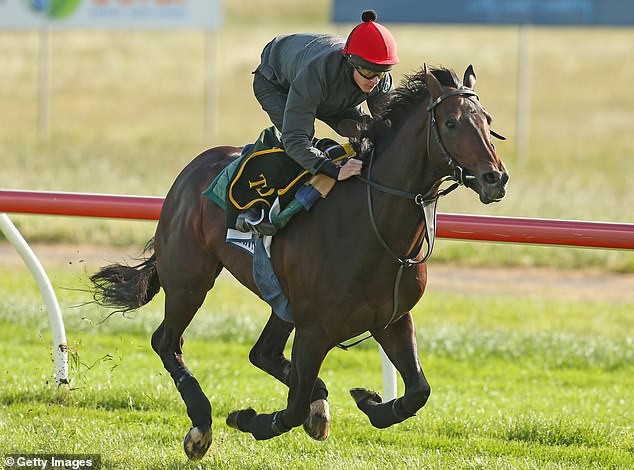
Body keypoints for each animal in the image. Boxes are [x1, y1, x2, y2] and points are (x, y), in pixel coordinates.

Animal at [89, 65, 506, 458]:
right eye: (451, 123)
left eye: (487, 120)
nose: (495, 178)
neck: (371, 225)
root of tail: (191, 170)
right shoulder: (315, 329)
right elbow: (291, 410)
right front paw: (251, 420)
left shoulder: (391, 318)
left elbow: (419, 390)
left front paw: (369, 401)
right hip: (190, 281)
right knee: (167, 342)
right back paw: (201, 425)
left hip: (280, 300)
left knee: (262, 353)